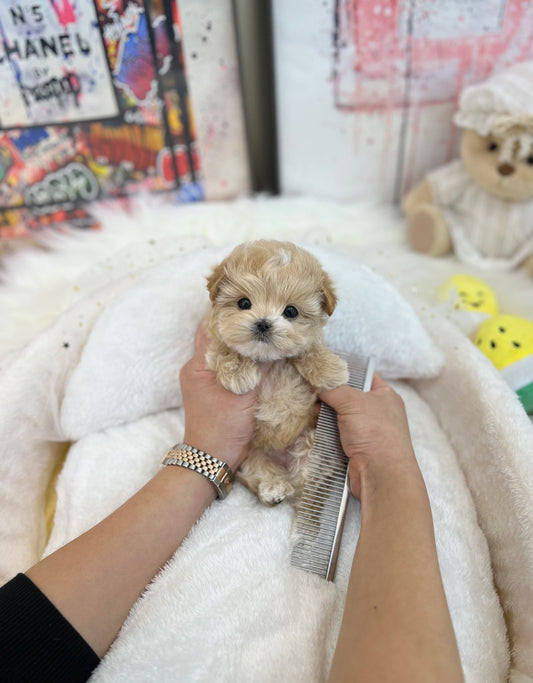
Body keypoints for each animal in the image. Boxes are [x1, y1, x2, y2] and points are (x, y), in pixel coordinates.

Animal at [205, 242, 350, 508]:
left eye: (291, 311)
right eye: (244, 303)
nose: (263, 323)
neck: (267, 358)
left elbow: (308, 348)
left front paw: (330, 369)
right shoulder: (213, 339)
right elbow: (227, 347)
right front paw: (239, 373)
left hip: (307, 435)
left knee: (307, 465)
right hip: (252, 452)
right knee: (263, 470)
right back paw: (274, 488)